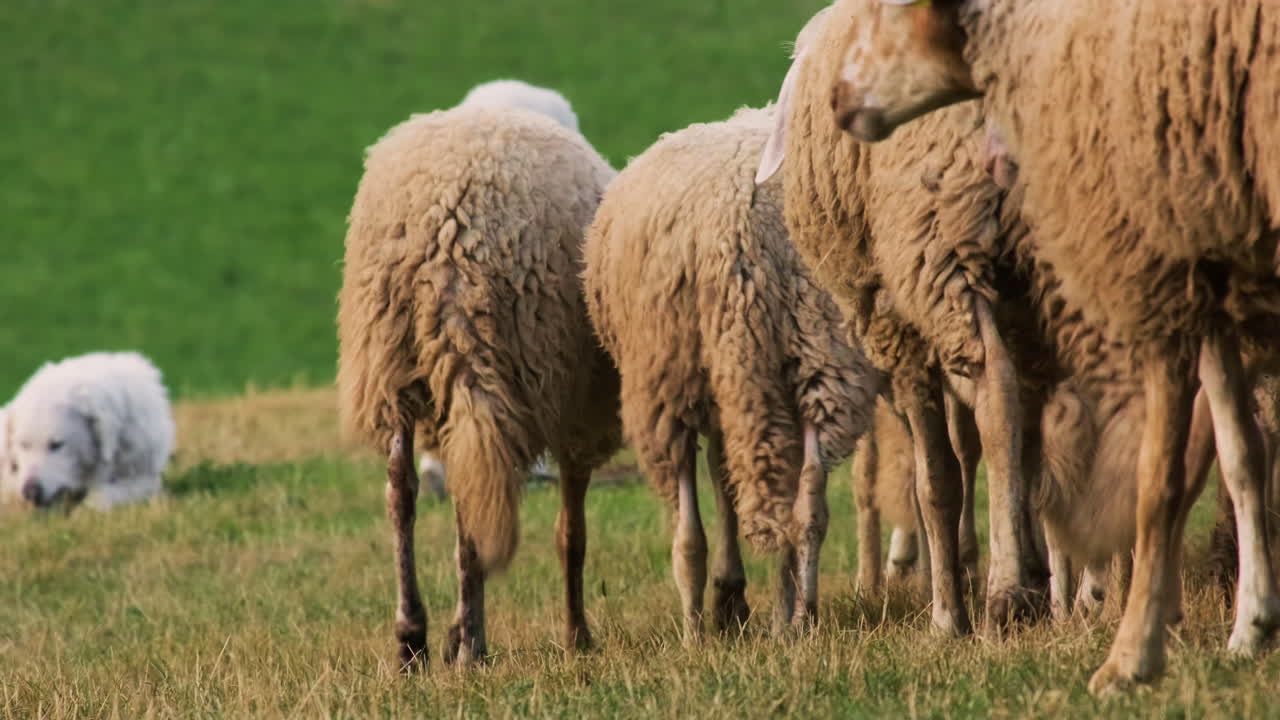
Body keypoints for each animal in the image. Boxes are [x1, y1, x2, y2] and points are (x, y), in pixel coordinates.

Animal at [336, 80, 621, 670]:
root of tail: (450, 222)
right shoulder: (576, 415)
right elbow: (571, 532)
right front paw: (577, 635)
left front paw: (450, 633)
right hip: (507, 365)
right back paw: (471, 644)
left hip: (393, 362)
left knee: (402, 492)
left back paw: (412, 637)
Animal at [582, 104, 879, 639]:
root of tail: (738, 230)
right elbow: (736, 487)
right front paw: (755, 603)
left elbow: (706, 508)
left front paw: (715, 612)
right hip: (818, 361)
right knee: (806, 501)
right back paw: (800, 617)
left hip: (675, 381)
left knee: (701, 524)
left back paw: (707, 626)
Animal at [827, 0, 1280, 693]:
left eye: (890, 12)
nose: (836, 98)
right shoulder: (1200, 275)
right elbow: (1240, 456)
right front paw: (1247, 628)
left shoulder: (1156, 286)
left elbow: (1160, 477)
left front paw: (1131, 655)